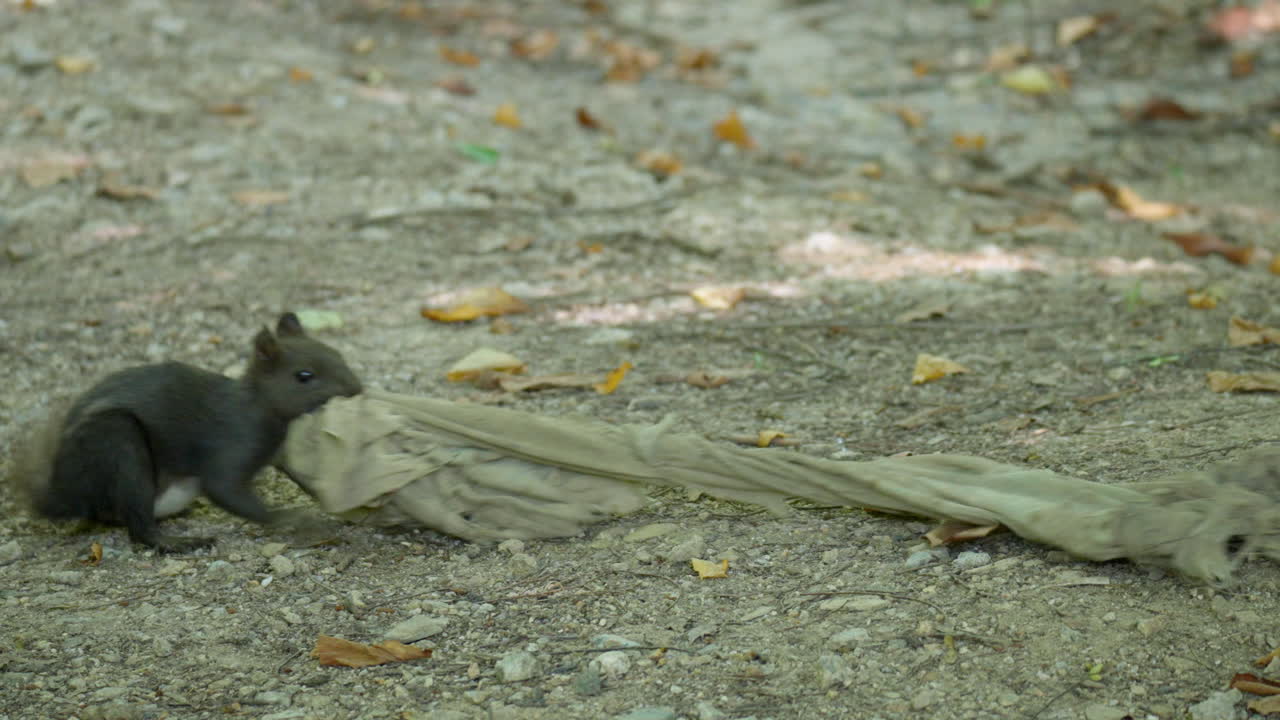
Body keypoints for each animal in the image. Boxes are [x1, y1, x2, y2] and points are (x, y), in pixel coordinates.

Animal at [15, 312, 362, 552]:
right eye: (304, 376)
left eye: (338, 354)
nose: (356, 389)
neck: (260, 408)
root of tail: (63, 492)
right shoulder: (231, 443)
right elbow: (226, 490)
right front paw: (295, 520)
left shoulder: (277, 452)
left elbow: (300, 477)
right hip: (115, 441)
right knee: (137, 522)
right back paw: (174, 542)